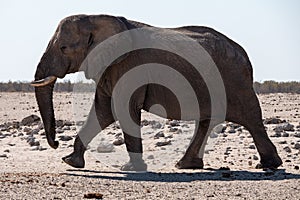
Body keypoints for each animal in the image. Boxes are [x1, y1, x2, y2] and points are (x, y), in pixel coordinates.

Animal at [31, 14, 282, 170]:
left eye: (64, 48)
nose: (55, 144)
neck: (97, 17)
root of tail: (244, 54)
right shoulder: (109, 68)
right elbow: (102, 113)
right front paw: (70, 162)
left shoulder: (130, 67)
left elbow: (123, 110)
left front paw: (131, 169)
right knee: (207, 121)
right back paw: (185, 165)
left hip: (234, 79)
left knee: (251, 119)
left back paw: (269, 165)